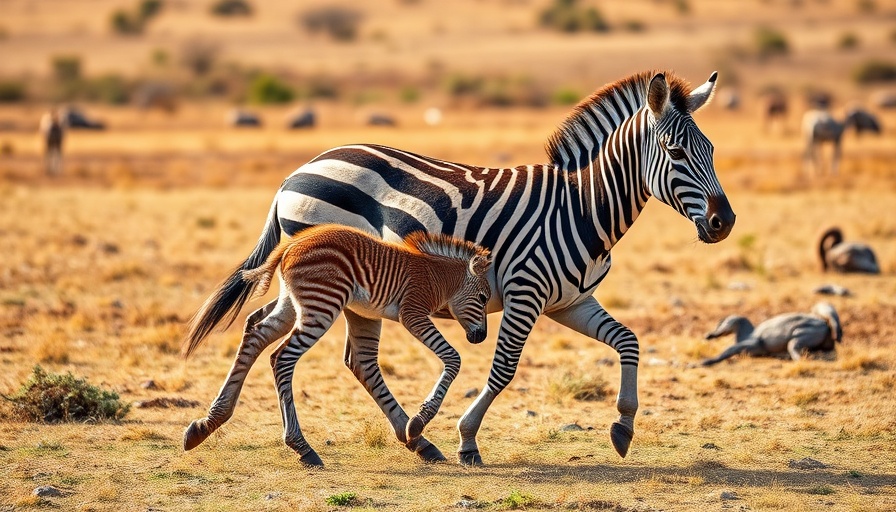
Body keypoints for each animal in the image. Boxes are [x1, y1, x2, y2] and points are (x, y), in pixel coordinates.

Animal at [182, 226, 490, 466]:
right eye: (484, 298)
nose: (481, 338)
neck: (438, 277)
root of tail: (289, 246)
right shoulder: (412, 313)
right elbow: (453, 358)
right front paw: (417, 423)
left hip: (292, 304)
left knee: (257, 337)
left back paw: (207, 424)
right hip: (322, 304)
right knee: (281, 358)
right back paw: (302, 447)